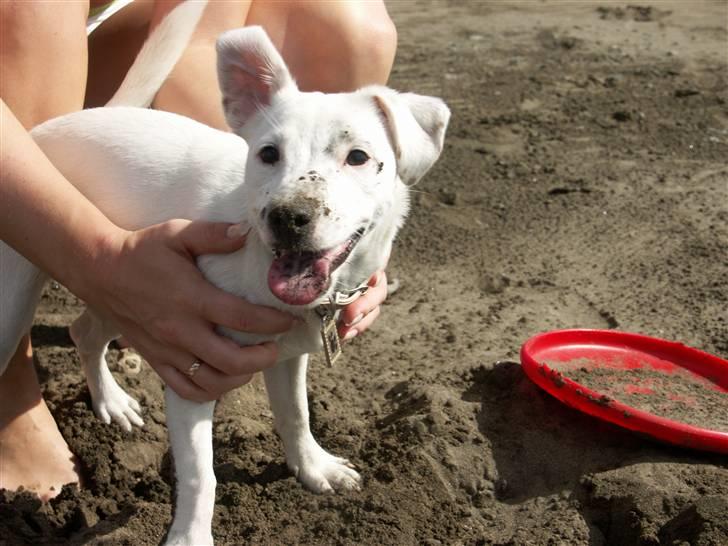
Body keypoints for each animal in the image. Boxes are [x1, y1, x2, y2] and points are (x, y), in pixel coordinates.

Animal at [0, 8, 450, 544]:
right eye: (268, 154)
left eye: (358, 157)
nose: (287, 217)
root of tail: (56, 127)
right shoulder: (189, 372)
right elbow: (201, 472)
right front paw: (190, 536)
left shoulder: (286, 356)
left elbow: (295, 414)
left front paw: (313, 468)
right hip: (23, 299)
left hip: (114, 279)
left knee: (83, 331)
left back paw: (111, 402)